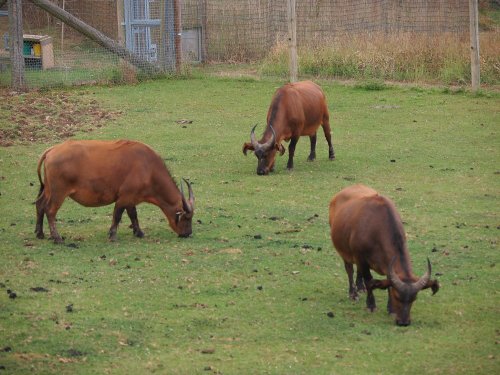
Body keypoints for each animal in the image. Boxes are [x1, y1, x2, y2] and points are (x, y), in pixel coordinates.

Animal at [34, 140, 195, 244]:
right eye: (187, 218)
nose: (188, 234)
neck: (148, 168)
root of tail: (52, 150)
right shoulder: (124, 198)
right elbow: (117, 215)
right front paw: (112, 235)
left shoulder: (131, 199)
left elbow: (133, 215)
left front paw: (139, 232)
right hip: (58, 193)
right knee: (50, 210)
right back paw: (57, 237)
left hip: (48, 190)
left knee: (40, 205)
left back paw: (40, 233)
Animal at [330, 185, 440, 326]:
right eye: (397, 296)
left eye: (414, 299)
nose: (403, 322)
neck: (376, 229)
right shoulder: (361, 258)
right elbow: (369, 281)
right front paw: (371, 305)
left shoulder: (387, 265)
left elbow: (387, 282)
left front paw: (390, 308)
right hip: (345, 252)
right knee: (350, 270)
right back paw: (353, 293)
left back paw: (360, 288)